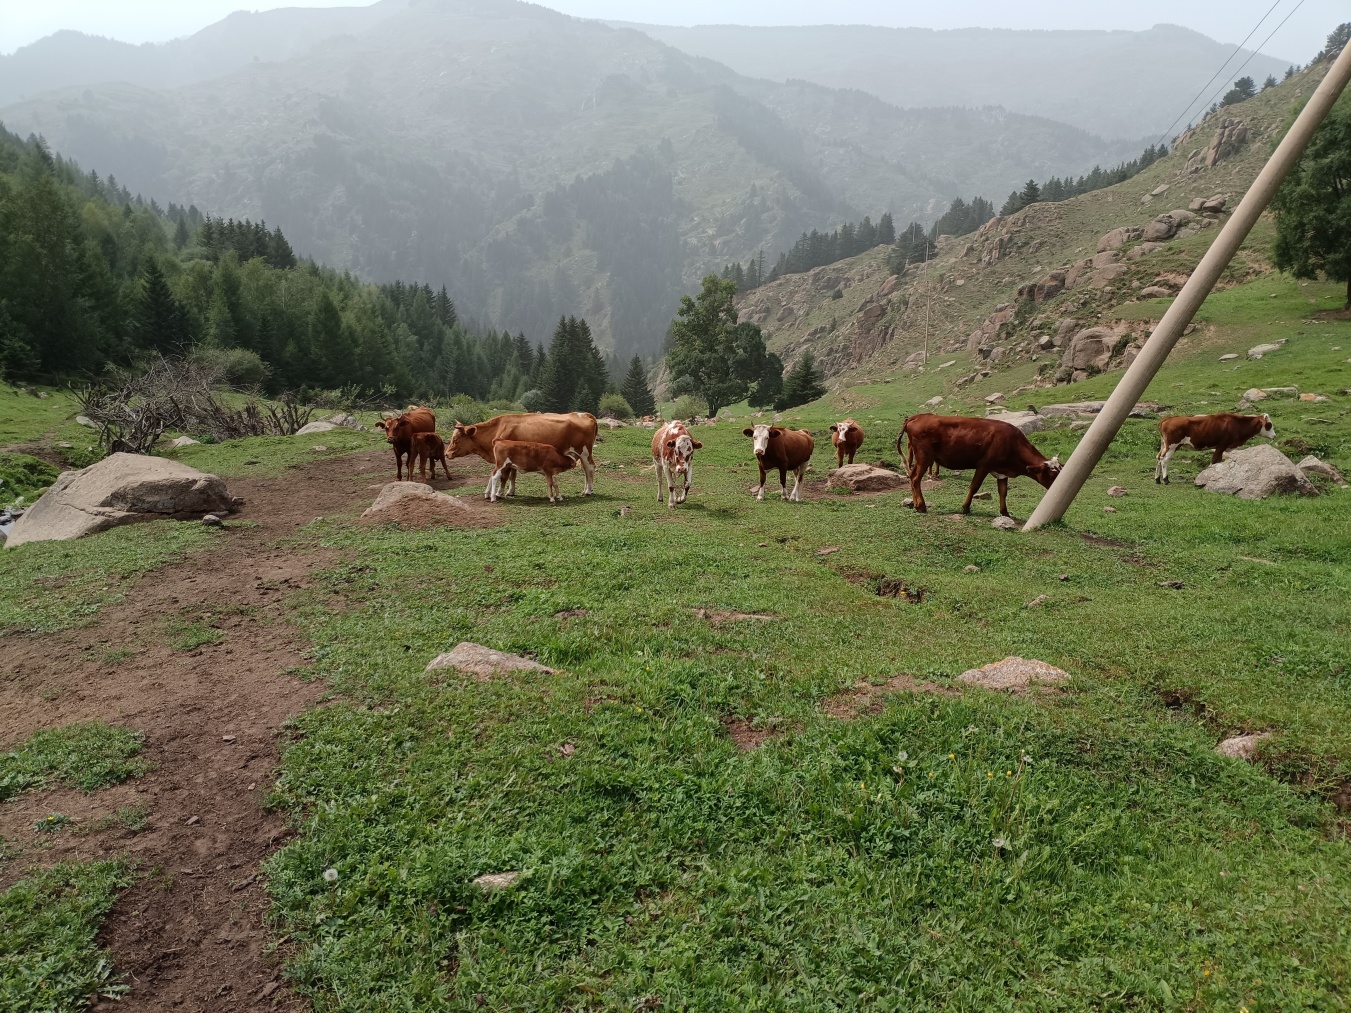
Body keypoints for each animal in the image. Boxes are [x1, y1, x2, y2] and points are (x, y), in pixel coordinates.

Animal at [448, 412, 598, 499]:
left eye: (456, 439)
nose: (447, 453)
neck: (498, 428)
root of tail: (584, 414)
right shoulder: (513, 458)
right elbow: (513, 476)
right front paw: (511, 491)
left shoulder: (507, 459)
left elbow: (504, 477)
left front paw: (499, 493)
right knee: (586, 471)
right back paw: (585, 490)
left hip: (584, 452)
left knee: (589, 469)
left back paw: (588, 491)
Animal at [898, 414, 1061, 516]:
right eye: (1052, 475)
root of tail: (919, 416)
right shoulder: (984, 465)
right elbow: (974, 486)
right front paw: (965, 508)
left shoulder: (1001, 472)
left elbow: (1003, 492)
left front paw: (1005, 513)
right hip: (924, 457)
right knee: (915, 479)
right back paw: (921, 506)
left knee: (912, 477)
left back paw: (916, 504)